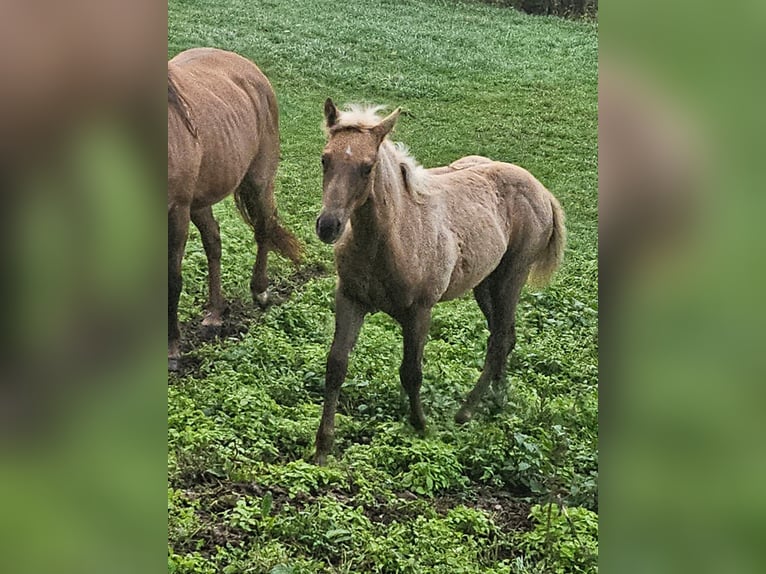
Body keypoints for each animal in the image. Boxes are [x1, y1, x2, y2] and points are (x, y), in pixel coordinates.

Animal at [170, 49, 302, 374]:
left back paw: (260, 291)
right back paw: (215, 315)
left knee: (264, 228)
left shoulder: (176, 211)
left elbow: (172, 280)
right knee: (214, 242)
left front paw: (172, 351)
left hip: (258, 181)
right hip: (200, 200)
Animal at [316, 101, 568, 466]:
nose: (328, 226)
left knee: (499, 340)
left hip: (511, 276)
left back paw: (467, 411)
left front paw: (421, 427)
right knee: (505, 336)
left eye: (367, 167)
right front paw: (322, 447)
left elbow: (411, 372)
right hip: (484, 283)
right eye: (325, 159)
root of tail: (543, 191)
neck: (390, 240)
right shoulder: (350, 299)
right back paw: (498, 400)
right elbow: (336, 365)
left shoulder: (420, 311)